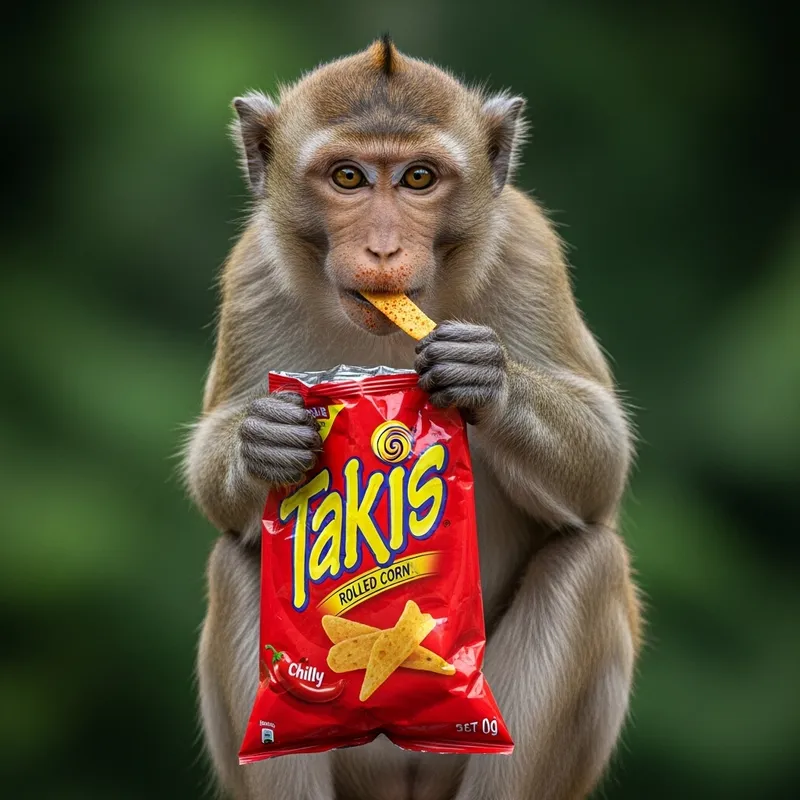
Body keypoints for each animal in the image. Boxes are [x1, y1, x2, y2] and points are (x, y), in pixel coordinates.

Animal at [184, 36, 640, 800]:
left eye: (419, 178)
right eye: (348, 177)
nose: (383, 249)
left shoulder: (526, 251)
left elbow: (602, 473)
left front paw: (486, 379)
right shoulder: (252, 275)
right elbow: (215, 489)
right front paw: (263, 440)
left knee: (590, 559)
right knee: (234, 560)